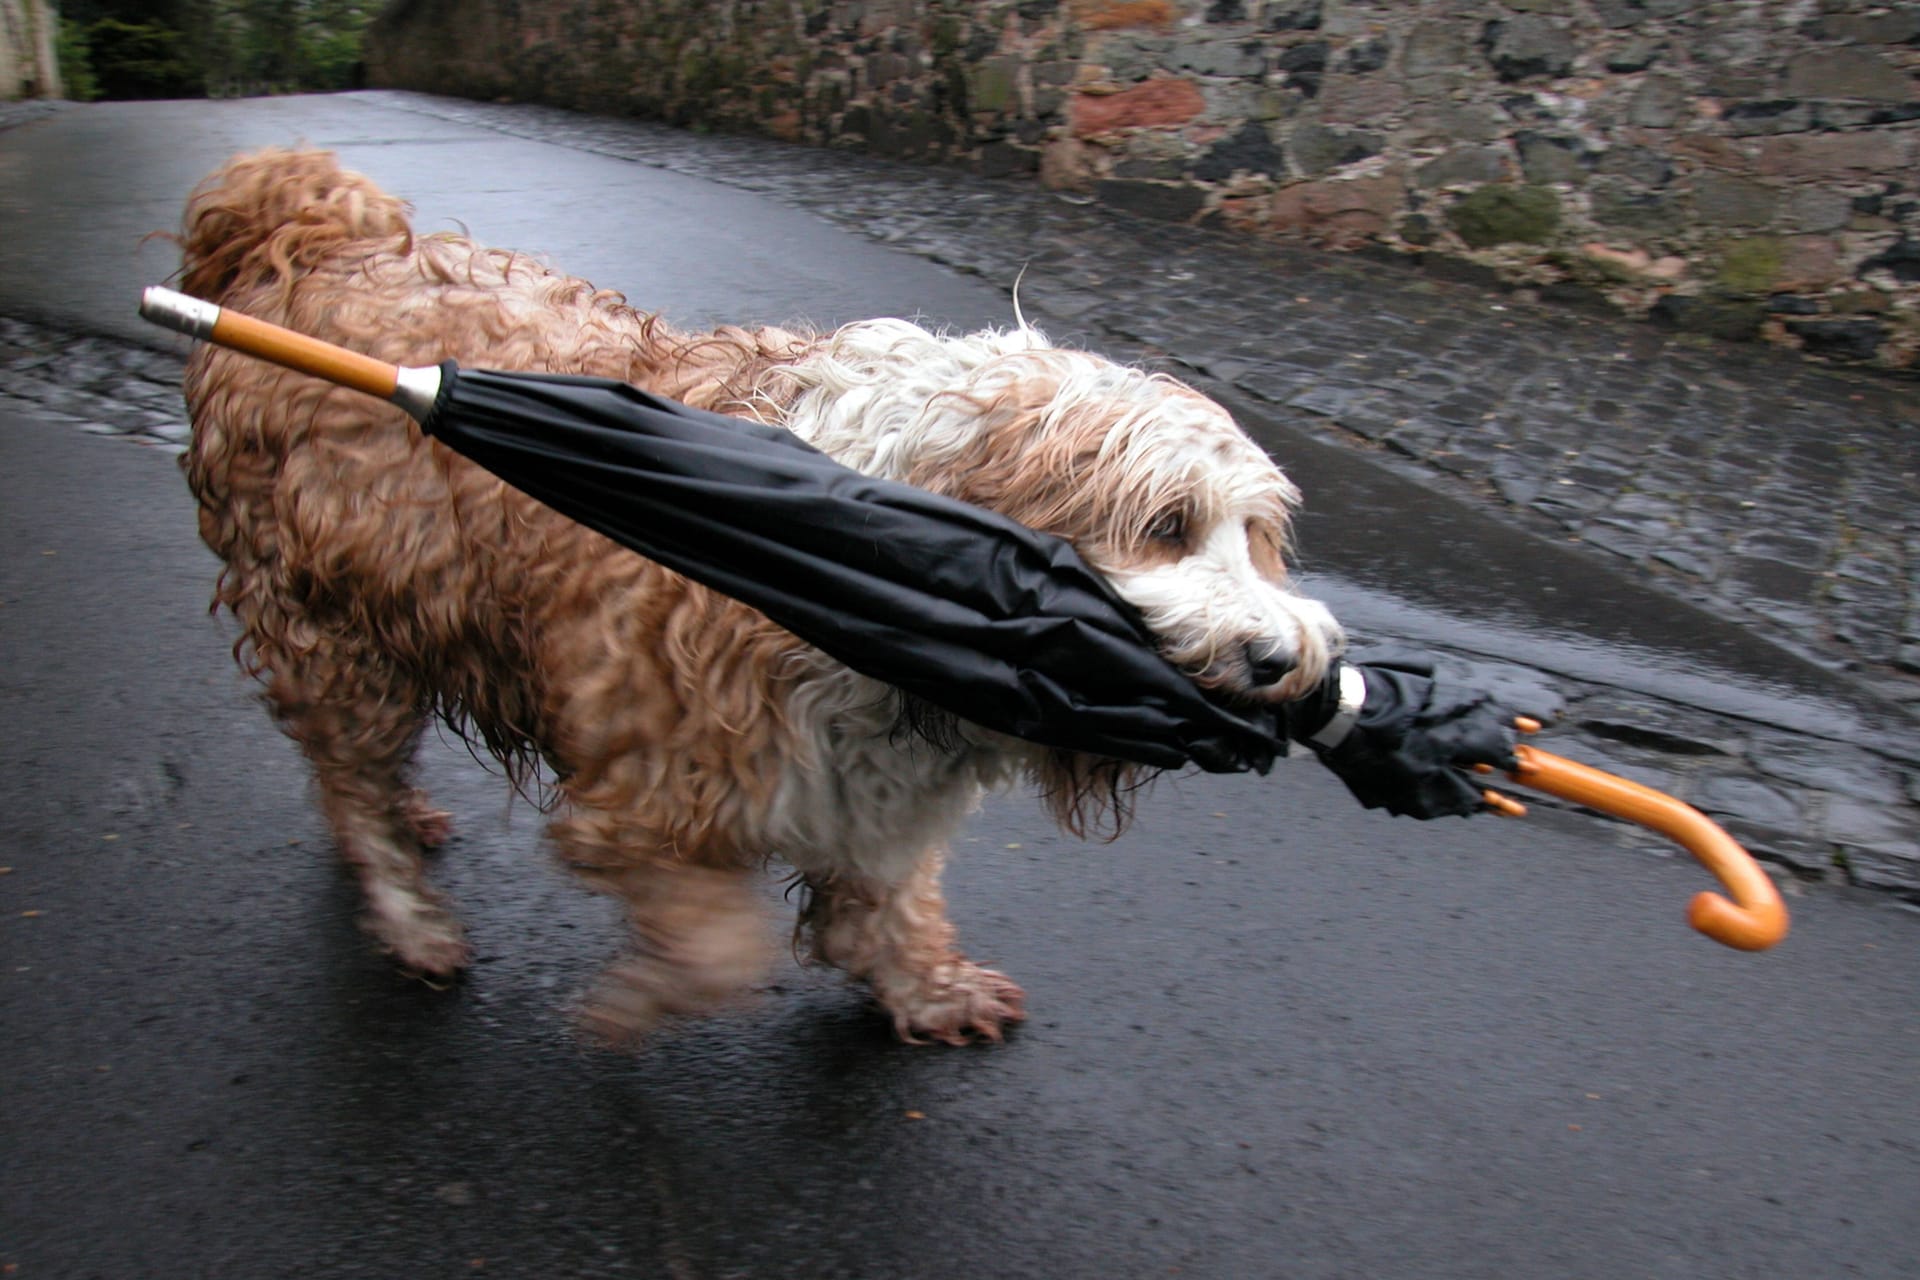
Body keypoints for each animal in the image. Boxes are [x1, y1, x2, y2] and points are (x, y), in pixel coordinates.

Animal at [172, 147, 1344, 1051]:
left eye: (1259, 540)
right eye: (1167, 526)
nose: (1283, 662)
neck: (885, 547)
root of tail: (304, 239)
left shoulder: (872, 788)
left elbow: (887, 903)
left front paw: (927, 987)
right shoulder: (650, 788)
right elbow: (720, 945)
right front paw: (637, 1000)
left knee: (353, 778)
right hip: (333, 628)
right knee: (353, 781)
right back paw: (410, 913)